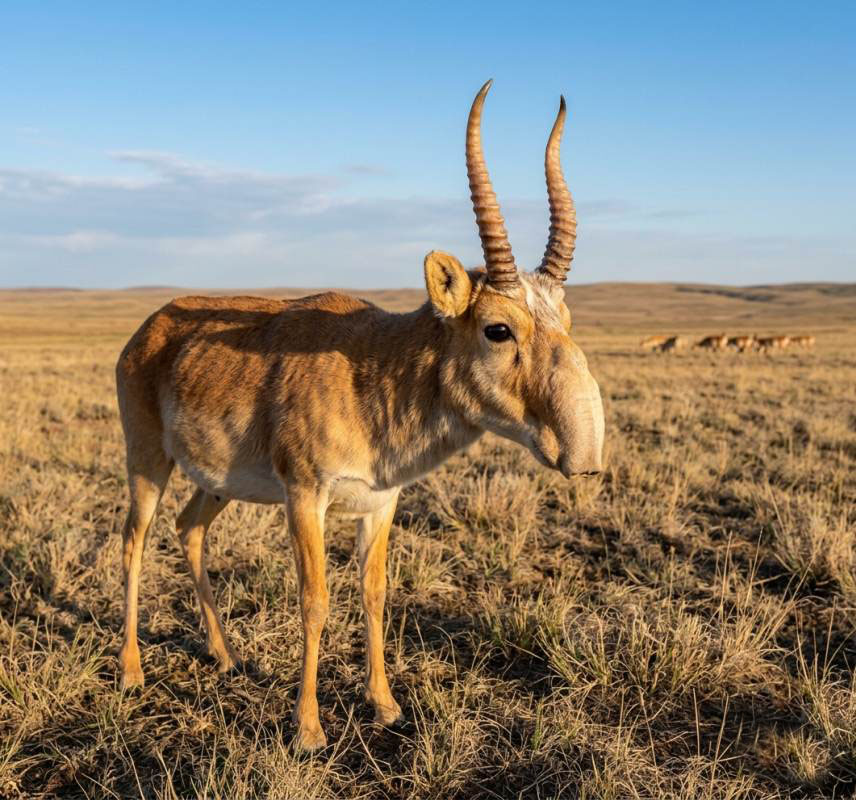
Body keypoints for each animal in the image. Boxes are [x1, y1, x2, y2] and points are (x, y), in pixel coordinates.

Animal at [114, 81, 604, 751]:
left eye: (568, 321)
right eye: (498, 328)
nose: (584, 453)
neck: (373, 368)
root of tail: (150, 327)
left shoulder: (381, 502)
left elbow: (374, 595)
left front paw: (385, 704)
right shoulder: (306, 497)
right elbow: (315, 599)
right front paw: (308, 728)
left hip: (217, 483)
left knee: (189, 530)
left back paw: (226, 656)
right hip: (148, 461)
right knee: (133, 541)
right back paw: (132, 672)